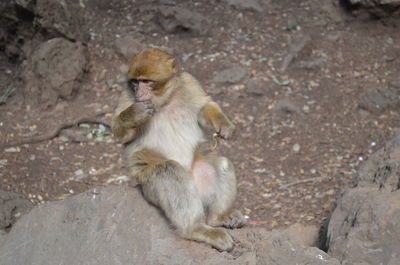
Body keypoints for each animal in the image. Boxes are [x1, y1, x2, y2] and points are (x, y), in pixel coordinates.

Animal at [111, 47, 245, 252]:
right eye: (135, 82)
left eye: (146, 81)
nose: (139, 93)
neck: (165, 100)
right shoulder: (127, 95)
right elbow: (121, 136)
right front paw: (133, 114)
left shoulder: (189, 82)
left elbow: (204, 107)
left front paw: (224, 124)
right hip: (148, 186)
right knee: (169, 171)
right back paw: (196, 229)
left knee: (222, 164)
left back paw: (218, 218)